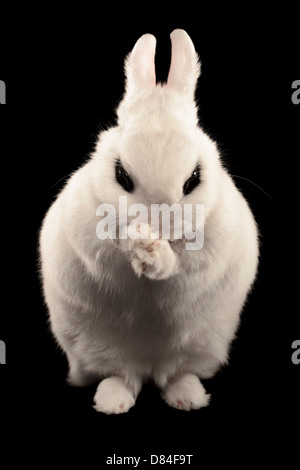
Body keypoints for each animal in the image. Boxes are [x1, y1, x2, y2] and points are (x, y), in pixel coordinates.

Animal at [39, 29, 258, 414]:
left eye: (194, 178)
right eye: (121, 175)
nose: (158, 222)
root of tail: (149, 366)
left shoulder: (209, 248)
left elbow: (180, 263)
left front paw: (154, 254)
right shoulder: (91, 239)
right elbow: (111, 246)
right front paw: (138, 243)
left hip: (202, 345)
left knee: (176, 374)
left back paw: (187, 397)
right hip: (95, 346)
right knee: (120, 376)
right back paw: (112, 402)